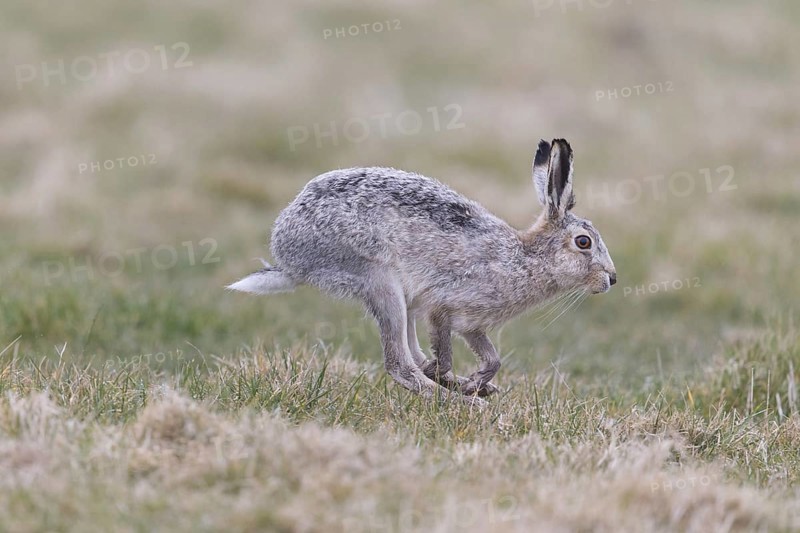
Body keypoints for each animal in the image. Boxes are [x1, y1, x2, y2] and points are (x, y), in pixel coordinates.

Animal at [228, 139, 616, 405]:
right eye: (583, 242)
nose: (611, 279)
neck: (524, 257)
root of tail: (288, 254)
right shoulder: (444, 307)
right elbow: (445, 353)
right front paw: (463, 383)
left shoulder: (473, 326)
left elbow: (493, 358)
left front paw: (477, 380)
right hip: (381, 282)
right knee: (400, 364)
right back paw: (463, 402)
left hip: (402, 299)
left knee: (412, 355)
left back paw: (472, 390)